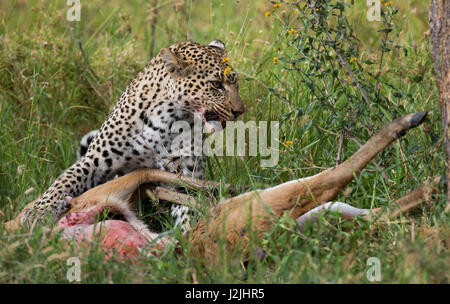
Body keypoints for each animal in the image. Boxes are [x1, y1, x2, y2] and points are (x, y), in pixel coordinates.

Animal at [20, 39, 246, 232]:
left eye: (236, 84)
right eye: (216, 84)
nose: (240, 111)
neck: (168, 118)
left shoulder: (185, 173)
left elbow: (188, 205)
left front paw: (187, 235)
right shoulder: (96, 161)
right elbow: (64, 181)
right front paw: (37, 212)